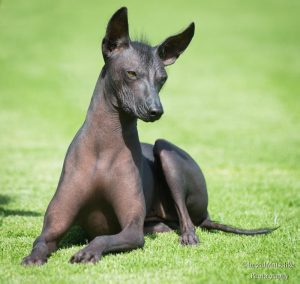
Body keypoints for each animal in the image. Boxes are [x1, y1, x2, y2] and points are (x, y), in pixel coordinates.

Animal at [21, 6, 276, 266]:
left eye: (162, 79)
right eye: (131, 73)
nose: (156, 110)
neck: (103, 147)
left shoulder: (132, 229)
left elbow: (102, 238)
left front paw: (88, 251)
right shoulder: (54, 226)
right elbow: (40, 241)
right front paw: (33, 258)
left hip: (167, 154)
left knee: (187, 220)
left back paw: (188, 236)